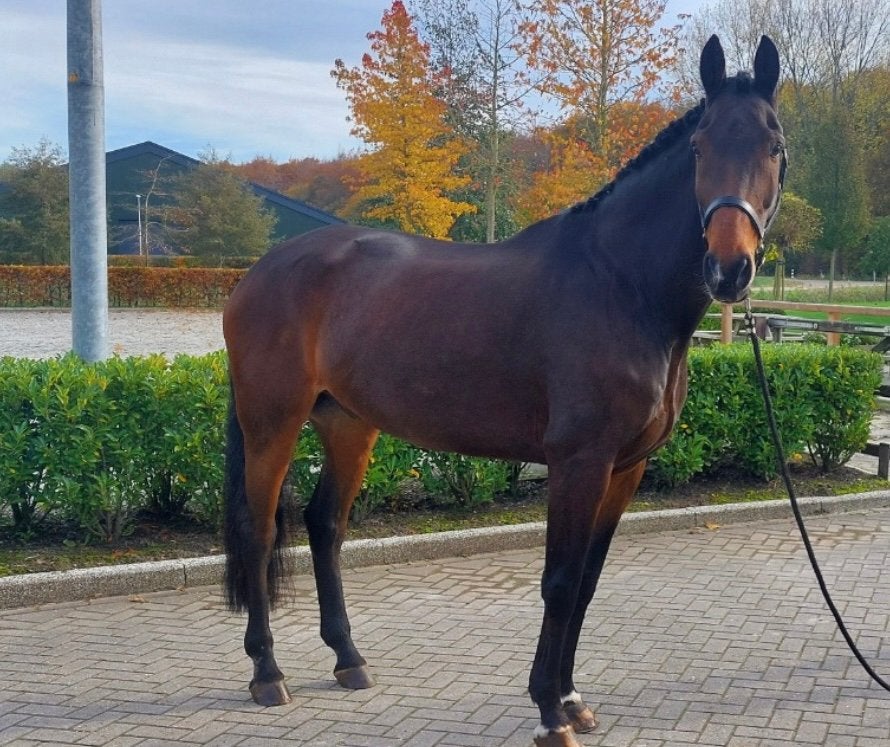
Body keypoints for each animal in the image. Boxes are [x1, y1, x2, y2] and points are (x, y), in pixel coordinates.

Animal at [222, 34, 786, 747]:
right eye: (699, 147)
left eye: (774, 145)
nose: (729, 267)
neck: (620, 286)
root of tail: (255, 275)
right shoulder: (578, 463)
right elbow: (560, 582)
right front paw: (549, 711)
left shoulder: (625, 468)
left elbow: (588, 583)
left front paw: (572, 698)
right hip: (272, 423)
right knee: (259, 529)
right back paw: (267, 673)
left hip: (348, 423)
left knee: (325, 524)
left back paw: (349, 659)